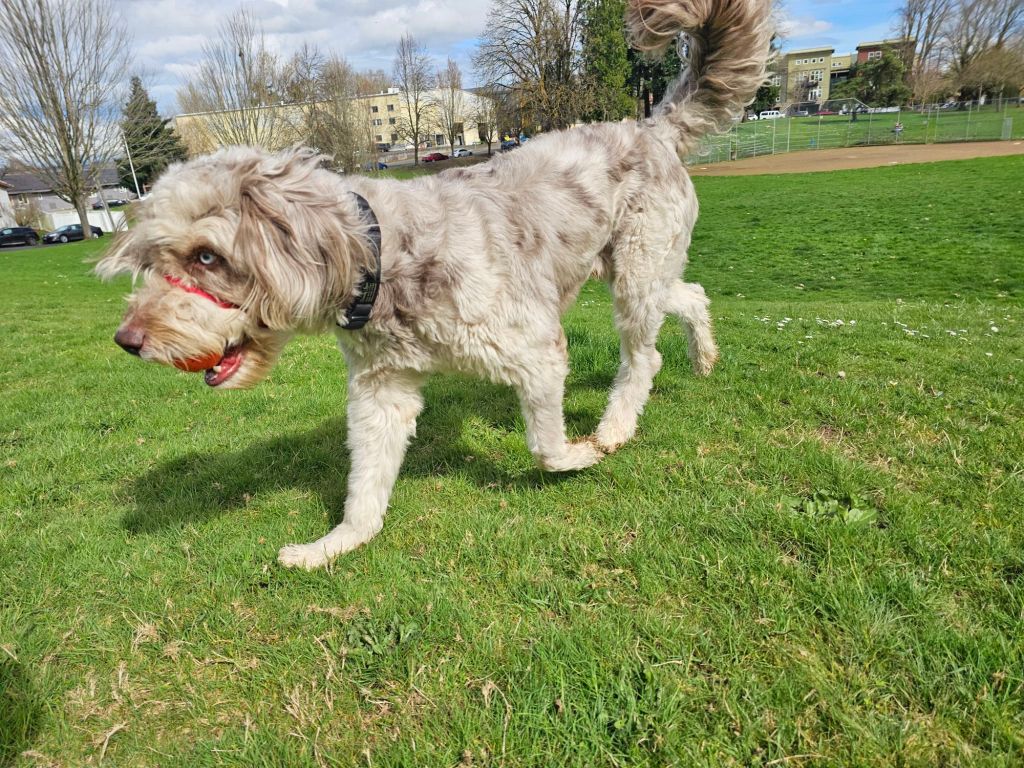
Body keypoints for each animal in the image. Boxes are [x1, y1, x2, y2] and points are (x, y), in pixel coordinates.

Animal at [97, 0, 772, 569]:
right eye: (154, 257)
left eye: (207, 256)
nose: (128, 340)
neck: (383, 258)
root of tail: (651, 128)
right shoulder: (381, 391)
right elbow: (365, 486)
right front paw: (333, 544)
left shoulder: (536, 352)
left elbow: (543, 446)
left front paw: (577, 456)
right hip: (636, 269)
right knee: (689, 295)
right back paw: (704, 355)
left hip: (634, 272)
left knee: (643, 356)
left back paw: (612, 430)